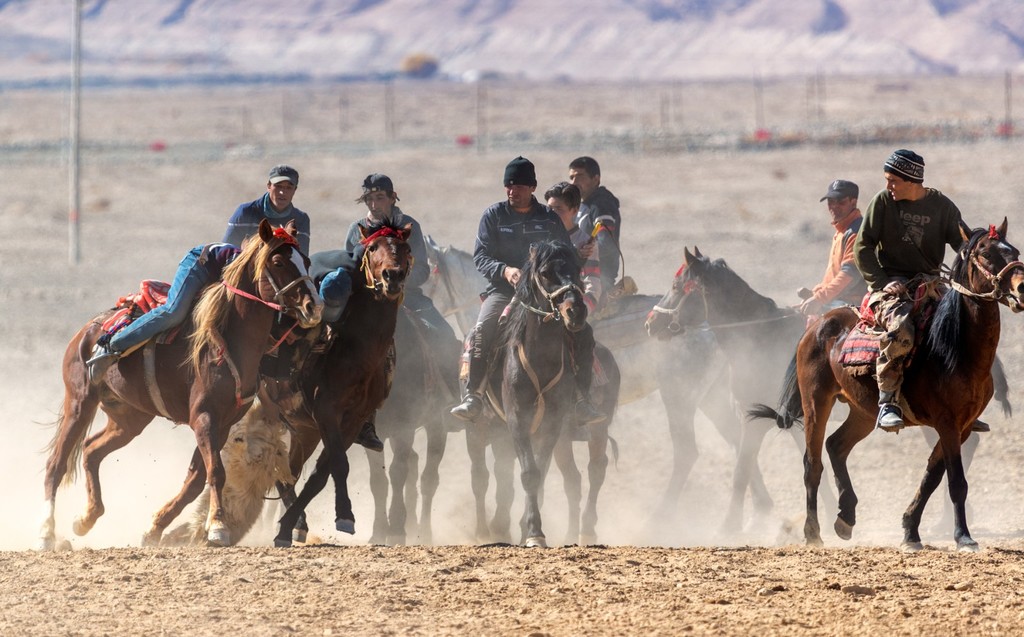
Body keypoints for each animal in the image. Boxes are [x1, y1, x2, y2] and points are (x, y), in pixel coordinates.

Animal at [40, 222, 319, 553]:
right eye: (278, 262)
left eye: (306, 261)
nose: (313, 308)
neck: (229, 341)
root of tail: (88, 330)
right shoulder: (204, 417)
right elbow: (215, 472)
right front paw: (218, 528)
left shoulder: (224, 422)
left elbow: (196, 479)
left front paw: (154, 529)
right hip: (79, 402)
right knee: (55, 465)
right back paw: (46, 533)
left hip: (129, 418)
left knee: (92, 450)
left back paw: (85, 519)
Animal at [272, 221, 415, 548]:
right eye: (373, 248)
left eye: (406, 249)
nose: (393, 276)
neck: (355, 351)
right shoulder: (326, 411)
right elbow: (339, 464)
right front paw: (346, 516)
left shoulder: (353, 419)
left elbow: (321, 473)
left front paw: (288, 527)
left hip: (303, 430)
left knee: (287, 474)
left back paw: (297, 522)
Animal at [753, 221, 1024, 553]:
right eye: (985, 253)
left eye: (1014, 251)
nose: (1021, 287)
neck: (954, 348)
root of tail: (818, 325)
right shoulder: (947, 423)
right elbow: (956, 481)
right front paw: (963, 537)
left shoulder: (963, 426)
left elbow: (932, 478)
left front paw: (910, 531)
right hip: (816, 402)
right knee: (812, 464)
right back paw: (813, 532)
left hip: (864, 412)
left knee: (836, 446)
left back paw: (846, 517)